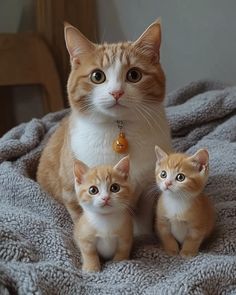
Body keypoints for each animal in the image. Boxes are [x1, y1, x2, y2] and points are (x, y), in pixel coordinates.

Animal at [37, 20, 173, 236]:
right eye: (97, 76)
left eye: (134, 75)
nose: (116, 92)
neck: (119, 129)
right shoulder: (72, 192)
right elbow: (82, 216)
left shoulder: (146, 190)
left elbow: (143, 221)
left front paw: (145, 239)